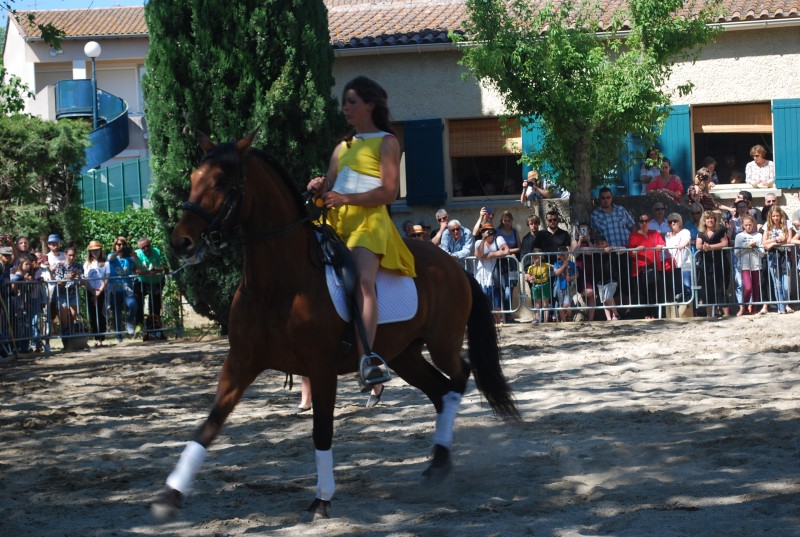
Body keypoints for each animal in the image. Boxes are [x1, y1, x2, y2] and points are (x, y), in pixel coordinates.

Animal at [152, 132, 520, 520]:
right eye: (194, 177)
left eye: (222, 181)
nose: (181, 242)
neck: (278, 284)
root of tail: (453, 265)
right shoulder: (241, 362)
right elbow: (209, 425)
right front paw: (169, 496)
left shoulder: (321, 368)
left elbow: (322, 432)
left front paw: (322, 498)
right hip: (403, 354)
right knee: (439, 390)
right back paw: (437, 463)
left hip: (442, 342)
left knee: (458, 377)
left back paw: (441, 459)